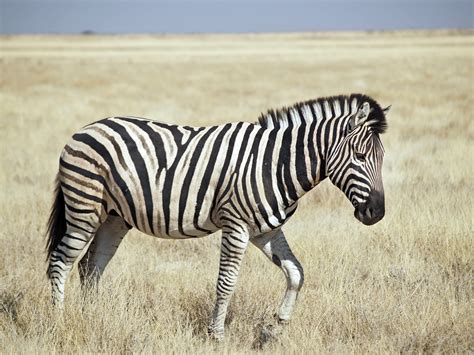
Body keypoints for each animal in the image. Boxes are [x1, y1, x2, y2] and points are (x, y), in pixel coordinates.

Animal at [46, 93, 390, 340]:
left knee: (91, 267)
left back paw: (92, 317)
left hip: (114, 217)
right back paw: (60, 322)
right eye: (360, 156)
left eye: (382, 158)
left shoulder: (265, 229)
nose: (377, 213)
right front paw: (217, 335)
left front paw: (278, 325)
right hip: (84, 208)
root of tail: (85, 129)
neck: (275, 163)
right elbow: (226, 282)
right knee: (61, 262)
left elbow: (296, 272)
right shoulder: (235, 224)